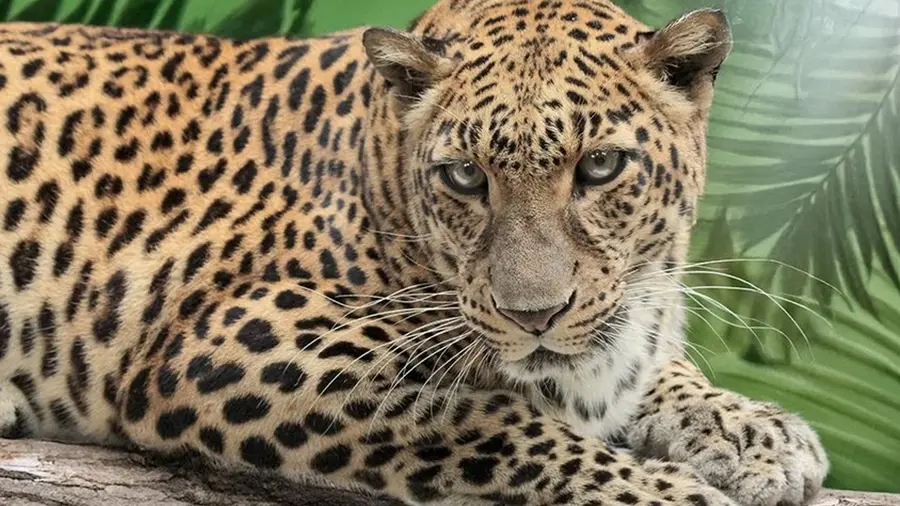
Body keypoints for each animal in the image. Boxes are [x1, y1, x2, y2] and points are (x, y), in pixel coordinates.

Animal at [0, 1, 829, 505]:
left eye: (599, 166)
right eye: (464, 176)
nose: (534, 317)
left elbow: (652, 369)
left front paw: (751, 431)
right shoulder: (231, 339)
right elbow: (486, 419)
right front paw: (669, 493)